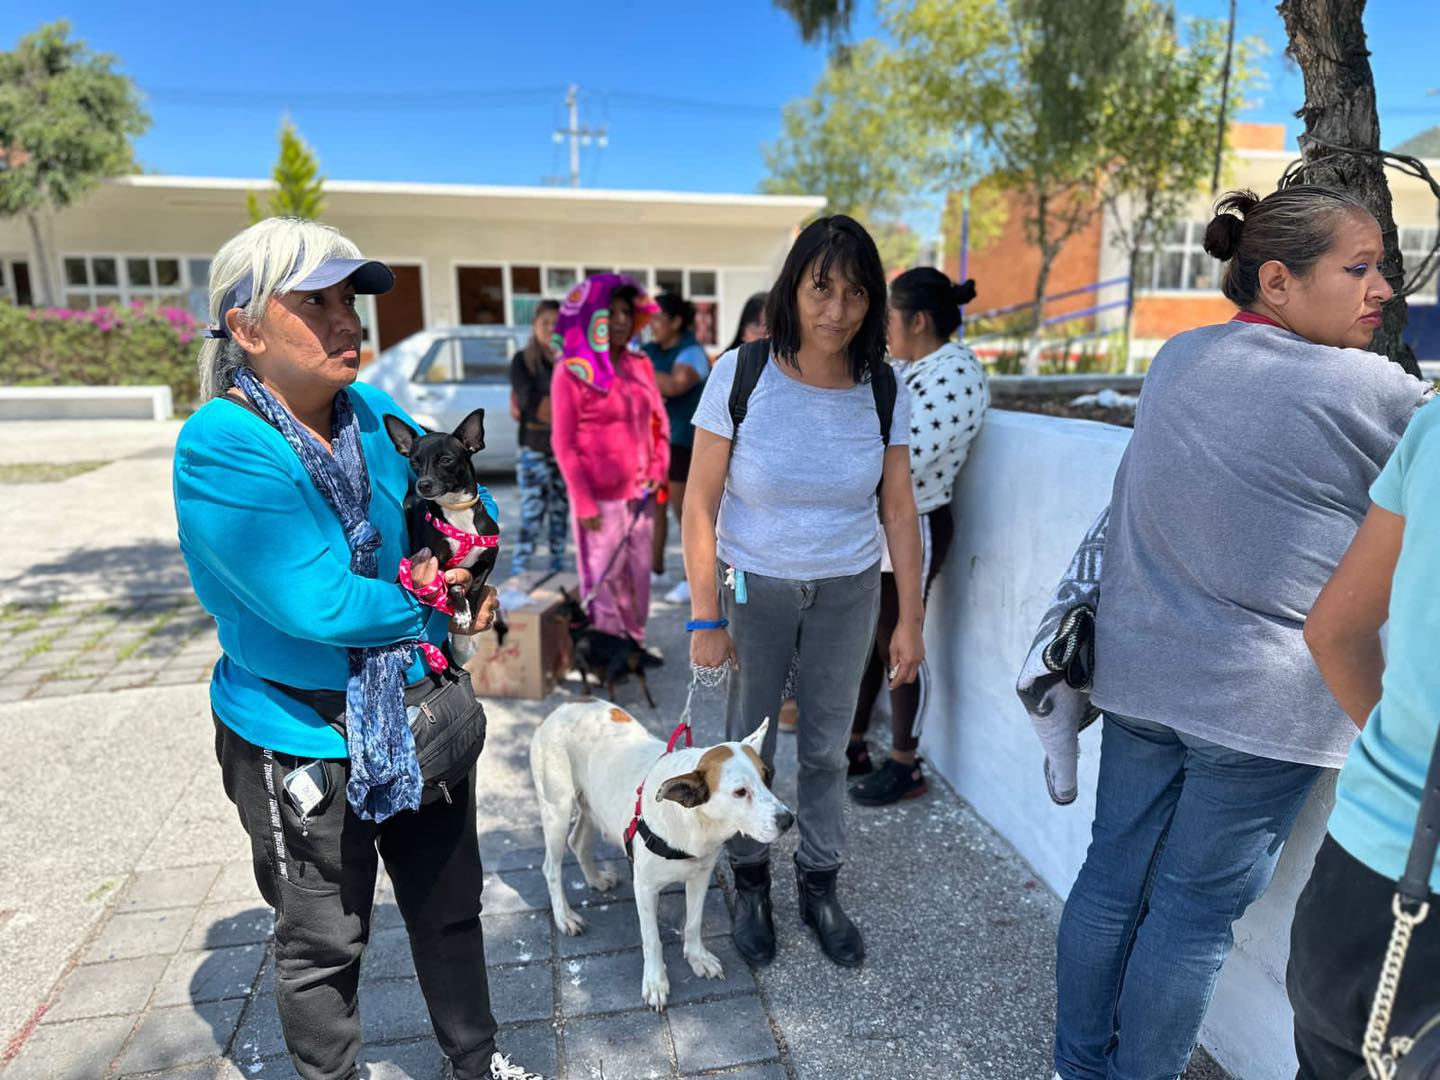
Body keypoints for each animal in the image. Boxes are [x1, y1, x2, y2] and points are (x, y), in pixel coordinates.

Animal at [385, 408, 504, 639]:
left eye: (447, 460)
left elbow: (474, 587)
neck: (456, 510)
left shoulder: (487, 562)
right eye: (414, 463)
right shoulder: (438, 566)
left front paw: (471, 611)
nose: (423, 485)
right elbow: (453, 588)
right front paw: (461, 613)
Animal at [532, 702, 800, 1013]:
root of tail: (564, 707)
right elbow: (652, 939)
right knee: (551, 867)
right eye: (740, 792)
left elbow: (693, 923)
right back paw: (564, 916)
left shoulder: (700, 877)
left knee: (577, 842)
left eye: (767, 776)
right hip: (557, 809)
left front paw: (697, 957)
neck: (693, 822)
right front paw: (655, 981)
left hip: (592, 805)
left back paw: (596, 879)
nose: (788, 820)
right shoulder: (645, 888)